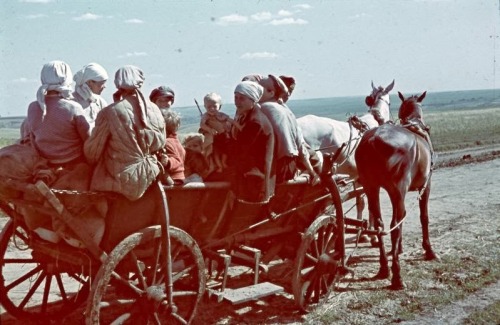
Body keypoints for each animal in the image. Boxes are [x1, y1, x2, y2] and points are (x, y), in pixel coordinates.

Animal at [356, 90, 438, 288]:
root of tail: (373, 139)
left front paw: (398, 249)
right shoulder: (426, 185)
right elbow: (423, 217)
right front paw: (429, 250)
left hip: (371, 187)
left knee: (381, 225)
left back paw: (384, 268)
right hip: (396, 191)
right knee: (394, 224)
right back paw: (397, 276)